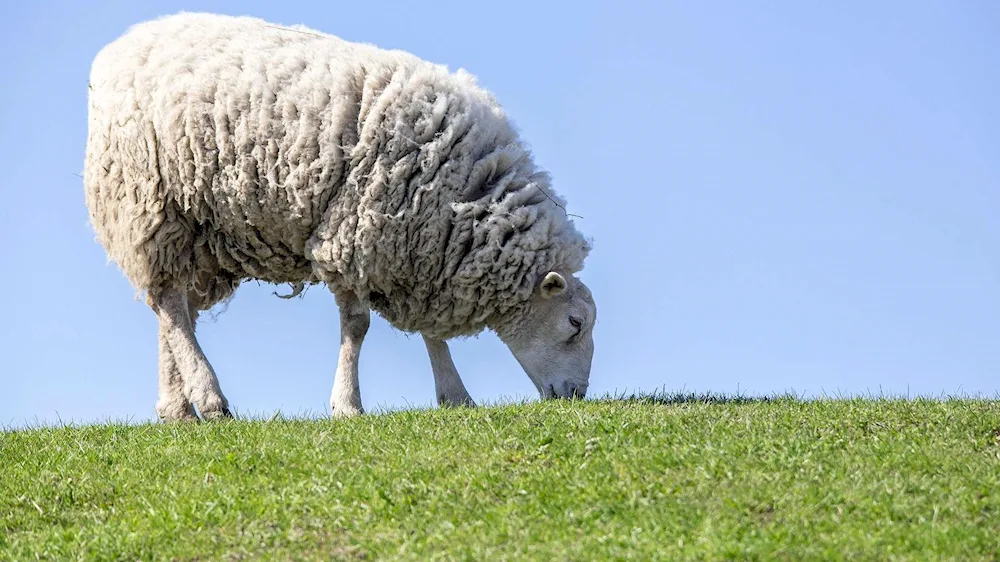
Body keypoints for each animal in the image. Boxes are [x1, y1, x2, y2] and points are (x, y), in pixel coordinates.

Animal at [82, 12, 596, 420]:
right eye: (575, 323)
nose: (576, 396)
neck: (463, 196)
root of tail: (120, 47)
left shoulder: (418, 254)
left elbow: (430, 334)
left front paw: (455, 396)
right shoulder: (356, 235)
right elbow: (357, 326)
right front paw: (348, 403)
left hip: (198, 230)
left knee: (174, 310)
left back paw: (177, 406)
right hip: (150, 202)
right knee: (169, 303)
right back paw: (209, 399)